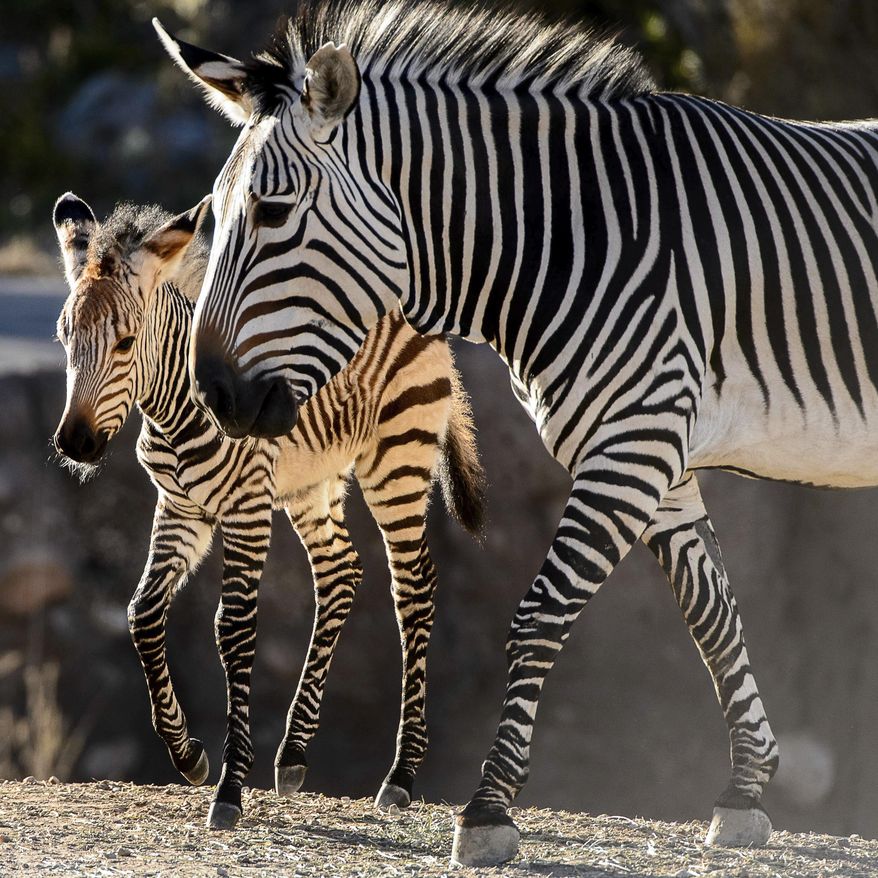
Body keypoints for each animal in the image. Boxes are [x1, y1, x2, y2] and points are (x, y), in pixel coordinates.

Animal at [51, 191, 485, 830]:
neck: (175, 409)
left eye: (125, 342)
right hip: (311, 482)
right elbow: (141, 613)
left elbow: (233, 629)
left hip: (397, 459)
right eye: (64, 340)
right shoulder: (180, 509)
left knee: (414, 587)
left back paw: (401, 774)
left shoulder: (247, 508)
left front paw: (230, 786)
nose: (74, 445)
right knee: (341, 571)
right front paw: (188, 755)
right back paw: (296, 752)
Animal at [153, 0, 878, 864]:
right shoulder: (660, 452)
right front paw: (744, 790)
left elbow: (538, 614)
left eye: (272, 213)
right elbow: (712, 612)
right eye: (214, 215)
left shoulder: (631, 445)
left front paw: (489, 808)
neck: (572, 239)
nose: (213, 396)